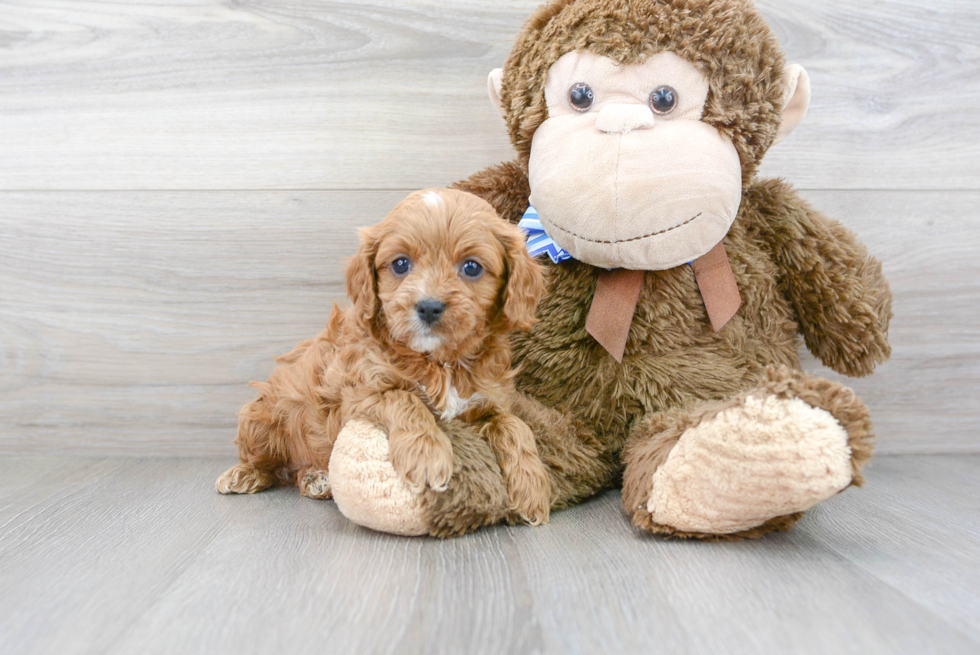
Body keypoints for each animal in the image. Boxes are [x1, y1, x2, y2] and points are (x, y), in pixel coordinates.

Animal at [215, 188, 552, 524]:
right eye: (401, 264)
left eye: (471, 267)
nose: (429, 307)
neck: (438, 361)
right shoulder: (358, 395)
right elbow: (405, 398)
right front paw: (426, 456)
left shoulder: (488, 400)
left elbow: (515, 425)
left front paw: (532, 488)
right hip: (263, 419)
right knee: (269, 463)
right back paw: (244, 474)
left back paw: (315, 478)